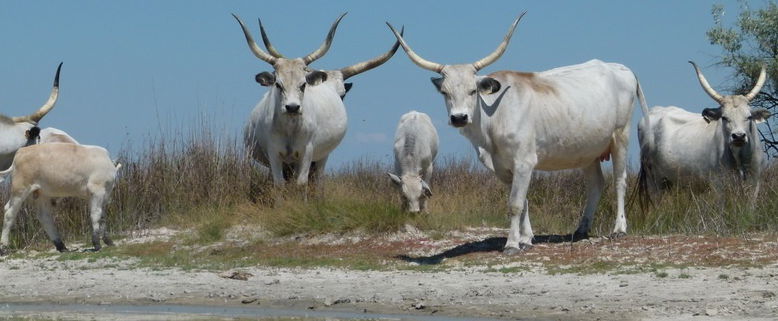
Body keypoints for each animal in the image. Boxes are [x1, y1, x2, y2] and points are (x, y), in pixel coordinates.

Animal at [232, 13, 400, 185]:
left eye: (303, 84)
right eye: (278, 84)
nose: (292, 107)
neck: (290, 127)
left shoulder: (307, 152)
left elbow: (301, 182)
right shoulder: (274, 153)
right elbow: (279, 183)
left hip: (321, 157)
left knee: (318, 179)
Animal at [386, 13, 648, 254]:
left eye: (473, 91)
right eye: (445, 93)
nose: (459, 117)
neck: (493, 123)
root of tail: (619, 67)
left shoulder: (524, 161)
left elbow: (514, 204)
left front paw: (512, 244)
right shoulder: (503, 167)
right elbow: (524, 200)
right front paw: (526, 238)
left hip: (620, 137)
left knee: (620, 181)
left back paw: (619, 229)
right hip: (588, 150)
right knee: (595, 184)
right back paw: (581, 229)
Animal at [636, 61, 768, 199]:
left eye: (749, 117)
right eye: (724, 117)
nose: (738, 136)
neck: (740, 158)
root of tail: (652, 111)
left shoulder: (755, 183)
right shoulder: (718, 184)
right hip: (653, 181)